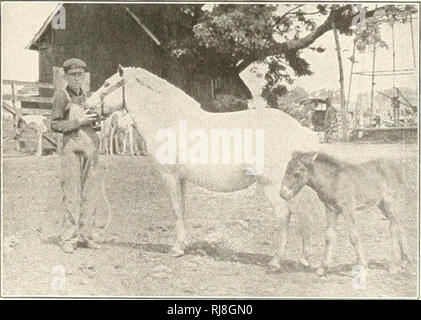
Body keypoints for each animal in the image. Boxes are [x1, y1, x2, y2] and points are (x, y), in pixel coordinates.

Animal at [88, 65, 318, 268]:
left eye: (107, 83)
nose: (87, 106)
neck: (170, 120)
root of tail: (300, 129)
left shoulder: (169, 176)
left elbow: (176, 210)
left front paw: (176, 249)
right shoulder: (181, 179)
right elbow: (182, 209)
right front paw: (184, 244)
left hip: (273, 185)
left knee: (285, 215)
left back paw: (276, 260)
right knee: (304, 215)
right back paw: (304, 259)